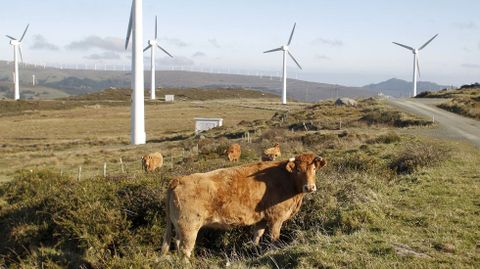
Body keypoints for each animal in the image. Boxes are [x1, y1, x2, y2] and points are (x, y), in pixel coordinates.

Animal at [161, 152, 326, 256]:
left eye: (314, 168)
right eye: (298, 170)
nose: (309, 187)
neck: (287, 180)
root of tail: (179, 179)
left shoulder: (261, 219)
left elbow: (257, 236)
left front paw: (254, 250)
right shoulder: (276, 218)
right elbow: (274, 239)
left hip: (179, 227)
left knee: (177, 245)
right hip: (189, 226)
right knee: (185, 250)